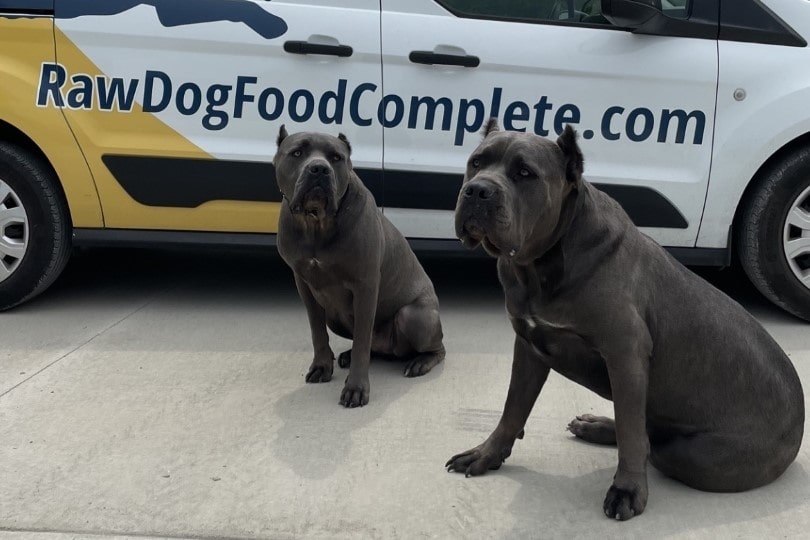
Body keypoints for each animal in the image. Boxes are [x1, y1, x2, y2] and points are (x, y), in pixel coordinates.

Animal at [274, 125, 446, 404]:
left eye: (336, 158)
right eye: (297, 153)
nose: (319, 169)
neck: (316, 224)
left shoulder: (365, 286)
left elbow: (362, 343)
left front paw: (356, 388)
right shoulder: (304, 284)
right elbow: (317, 331)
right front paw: (322, 366)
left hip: (414, 316)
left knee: (434, 348)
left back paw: (420, 362)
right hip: (335, 317)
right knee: (367, 345)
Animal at [446, 118, 804, 520]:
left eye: (525, 173)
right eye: (476, 162)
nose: (477, 191)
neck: (538, 265)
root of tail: (800, 423)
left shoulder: (625, 355)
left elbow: (633, 434)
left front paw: (628, 489)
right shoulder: (528, 346)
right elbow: (513, 408)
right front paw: (487, 453)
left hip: (696, 454)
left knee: (650, 440)